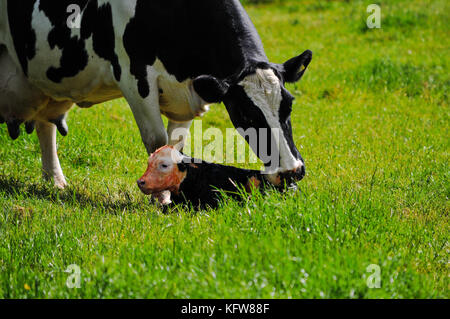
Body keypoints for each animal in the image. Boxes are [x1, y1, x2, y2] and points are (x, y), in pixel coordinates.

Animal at [0, 0, 312, 190]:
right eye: (245, 114)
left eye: (289, 106)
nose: (291, 171)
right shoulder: (135, 78)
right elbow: (157, 142)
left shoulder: (188, 94)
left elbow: (176, 147)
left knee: (46, 125)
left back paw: (55, 182)